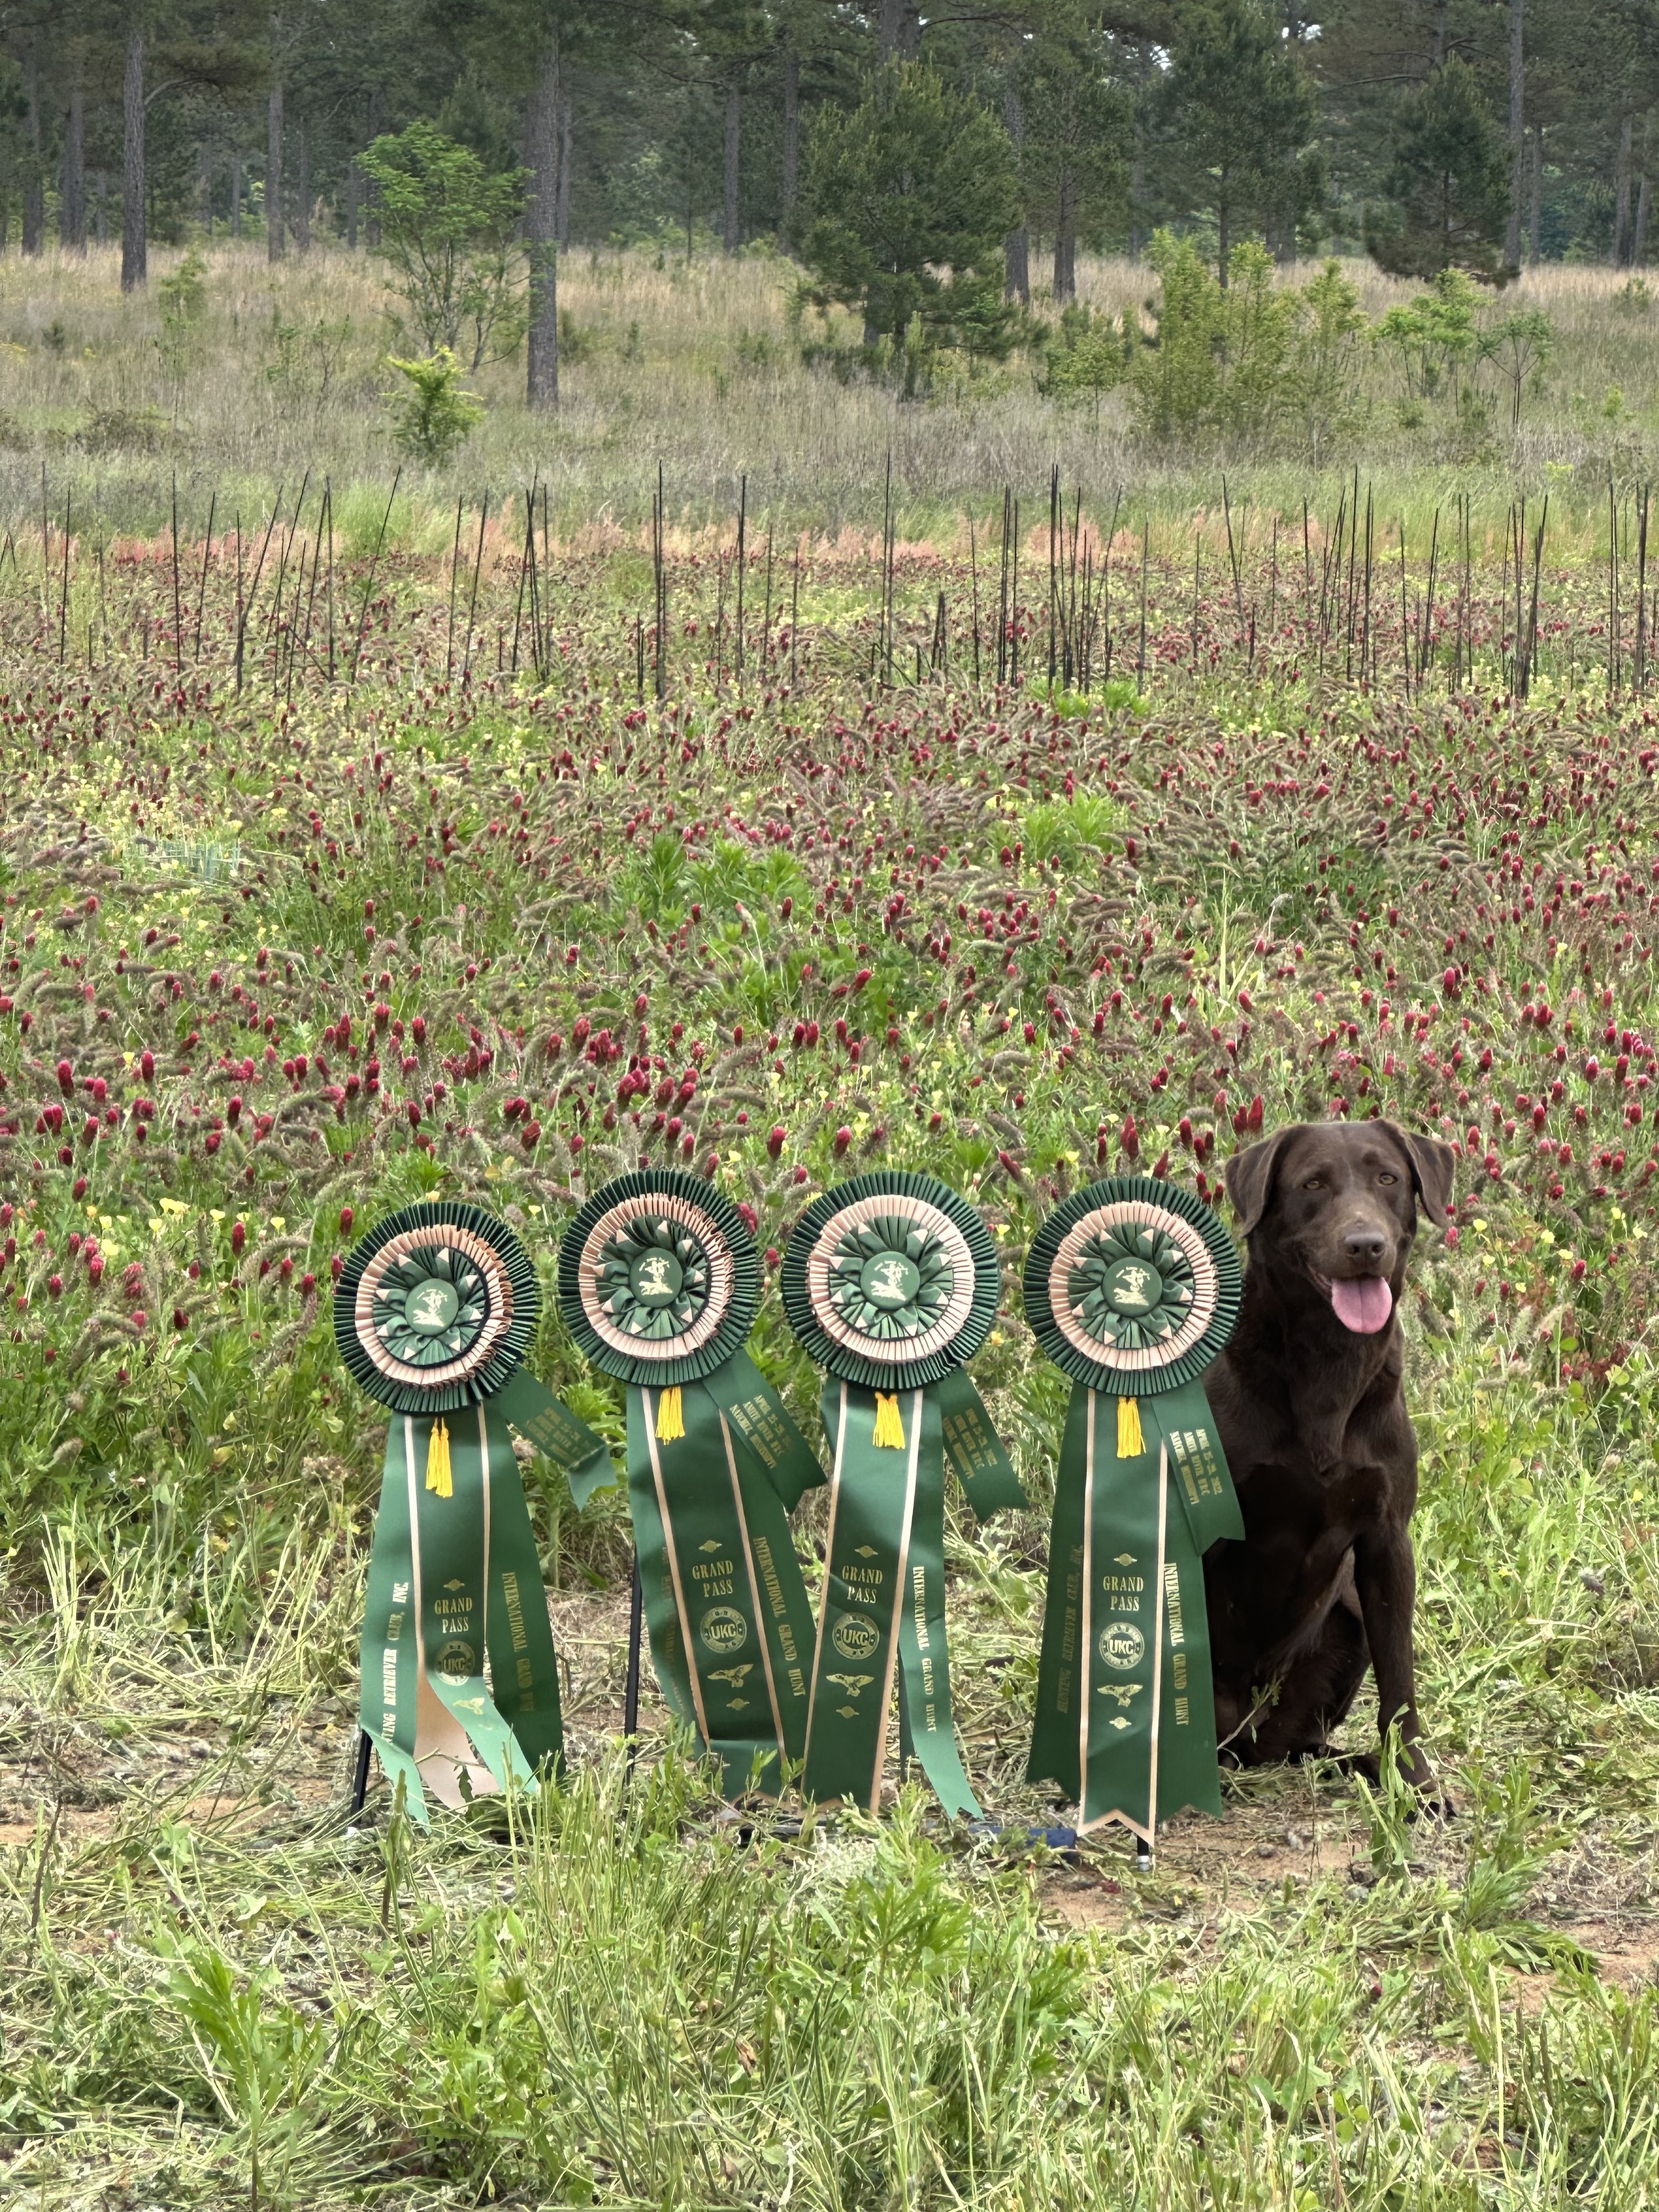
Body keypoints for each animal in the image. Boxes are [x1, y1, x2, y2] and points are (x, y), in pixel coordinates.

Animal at [1200, 1119, 1455, 1789]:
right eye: (1313, 1184)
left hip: (1348, 1620)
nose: (1365, 1245)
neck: (1328, 1361)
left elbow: (1400, 1682)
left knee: (1298, 1740)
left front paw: (1415, 1781)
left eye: (1388, 1177)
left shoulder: (1388, 1541)